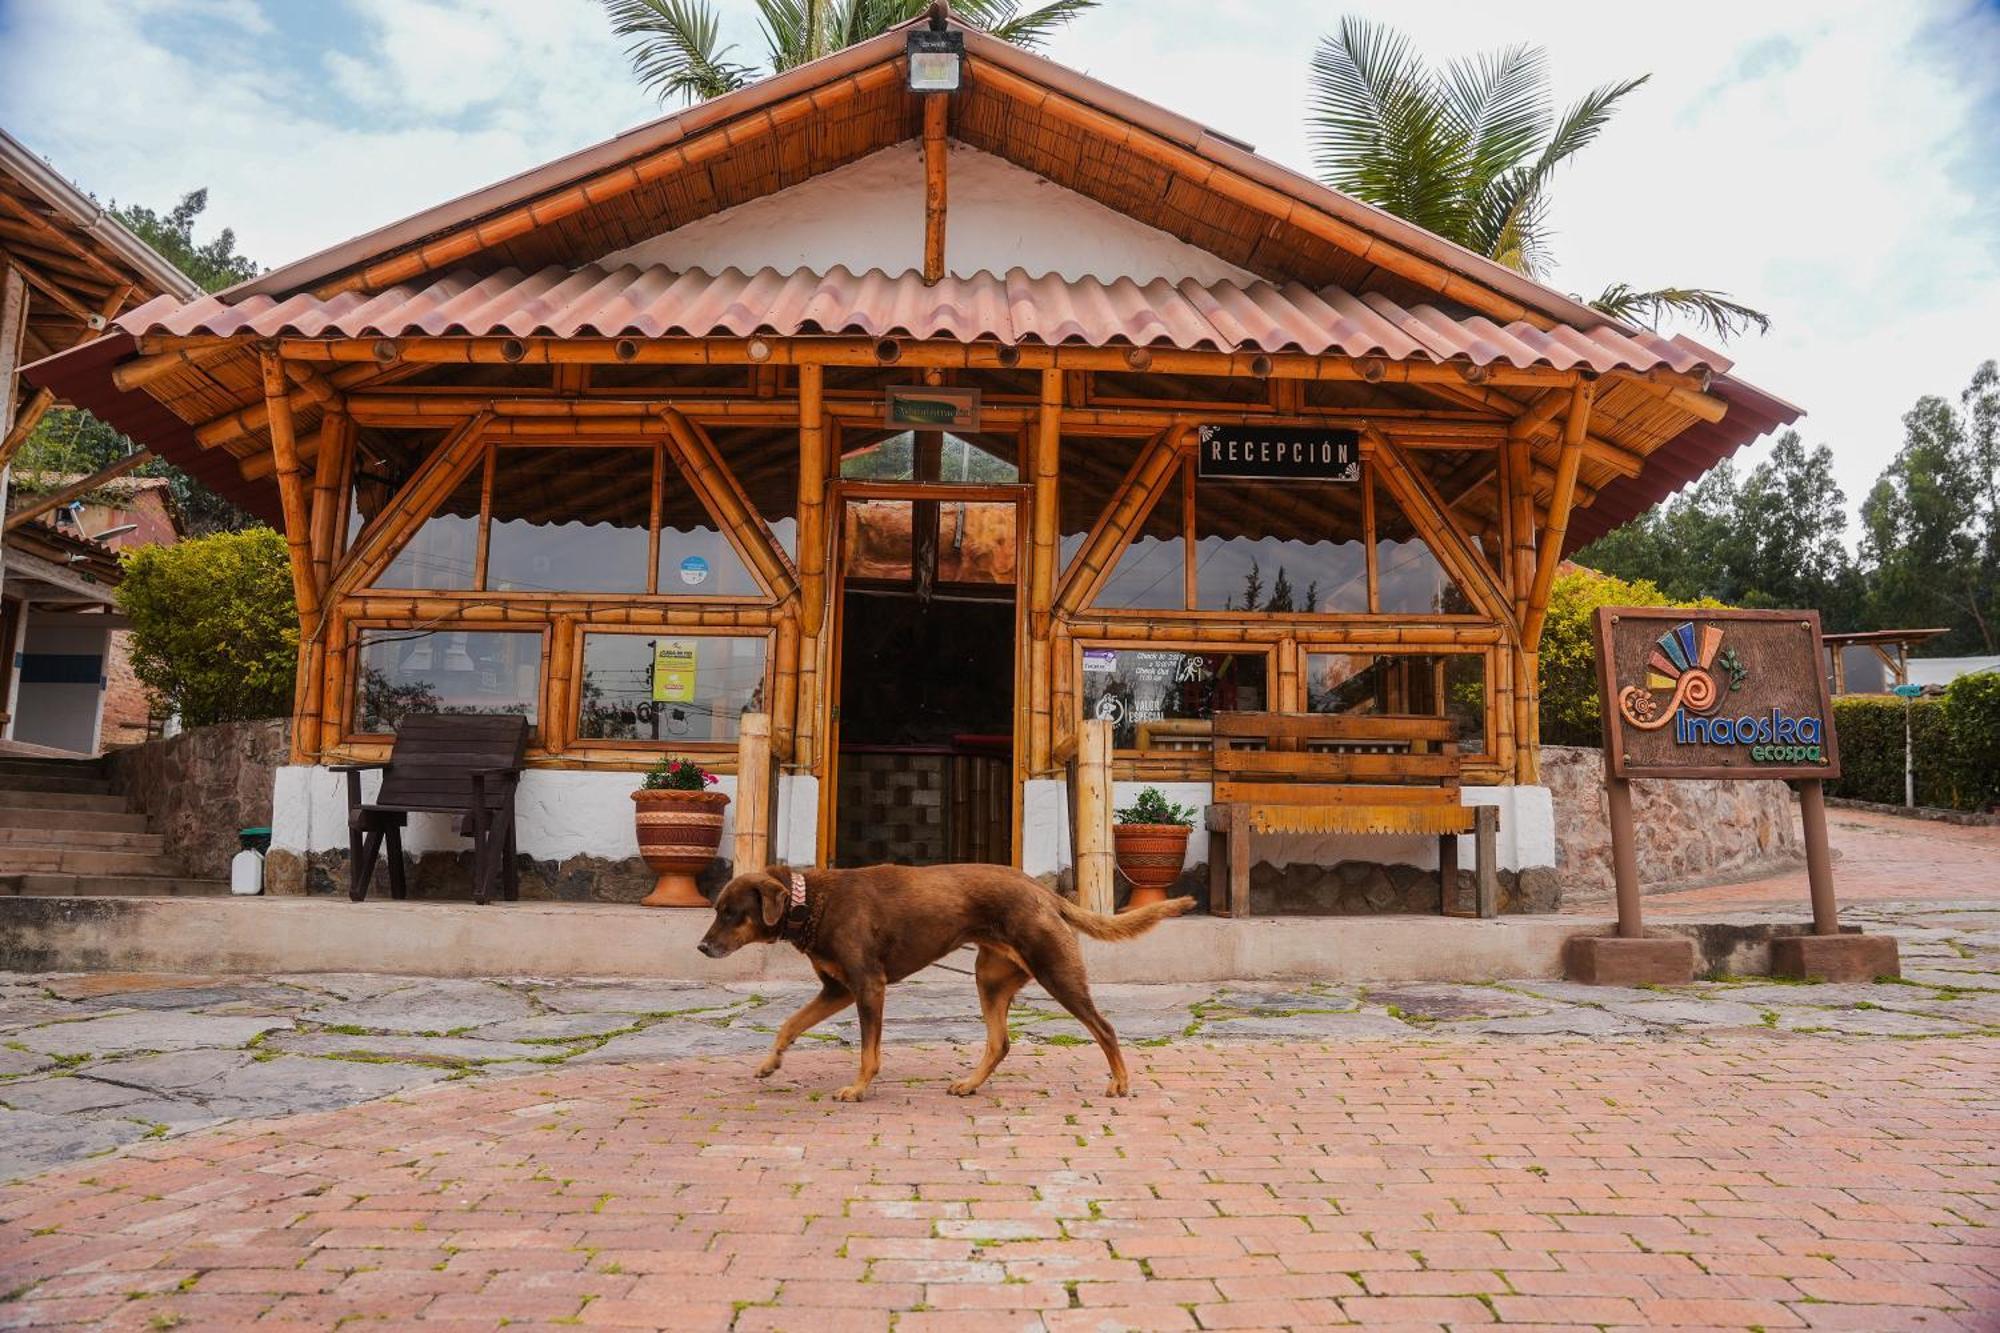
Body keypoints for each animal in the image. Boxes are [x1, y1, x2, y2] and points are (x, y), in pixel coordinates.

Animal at [700, 868, 1192, 1096]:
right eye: (717, 910)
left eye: (730, 913)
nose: (702, 948)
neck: (811, 903)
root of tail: (1043, 891)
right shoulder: (837, 989)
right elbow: (789, 1024)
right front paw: (769, 1064)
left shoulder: (868, 986)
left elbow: (867, 1053)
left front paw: (858, 1089)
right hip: (989, 979)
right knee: (1000, 1043)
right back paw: (970, 1084)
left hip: (1056, 973)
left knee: (1105, 1028)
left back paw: (1121, 1083)